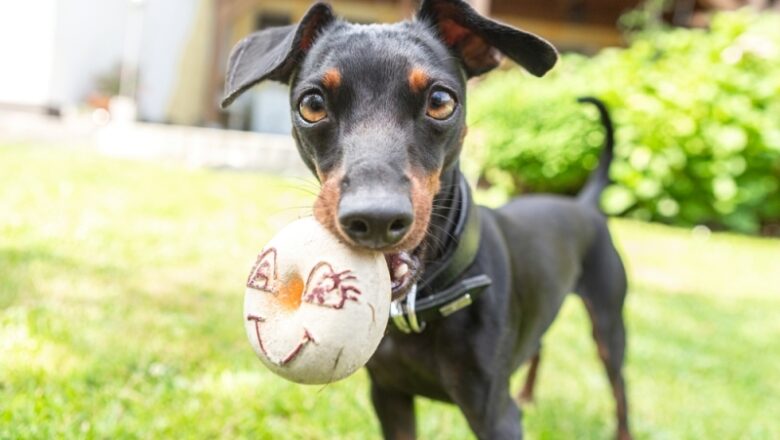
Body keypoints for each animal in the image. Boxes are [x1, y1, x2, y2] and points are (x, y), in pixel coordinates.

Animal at [219, 1, 628, 438]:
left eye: (440, 101)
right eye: (312, 105)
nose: (375, 219)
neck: (422, 299)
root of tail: (585, 204)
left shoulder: (495, 414)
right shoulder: (388, 395)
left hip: (609, 324)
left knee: (619, 385)